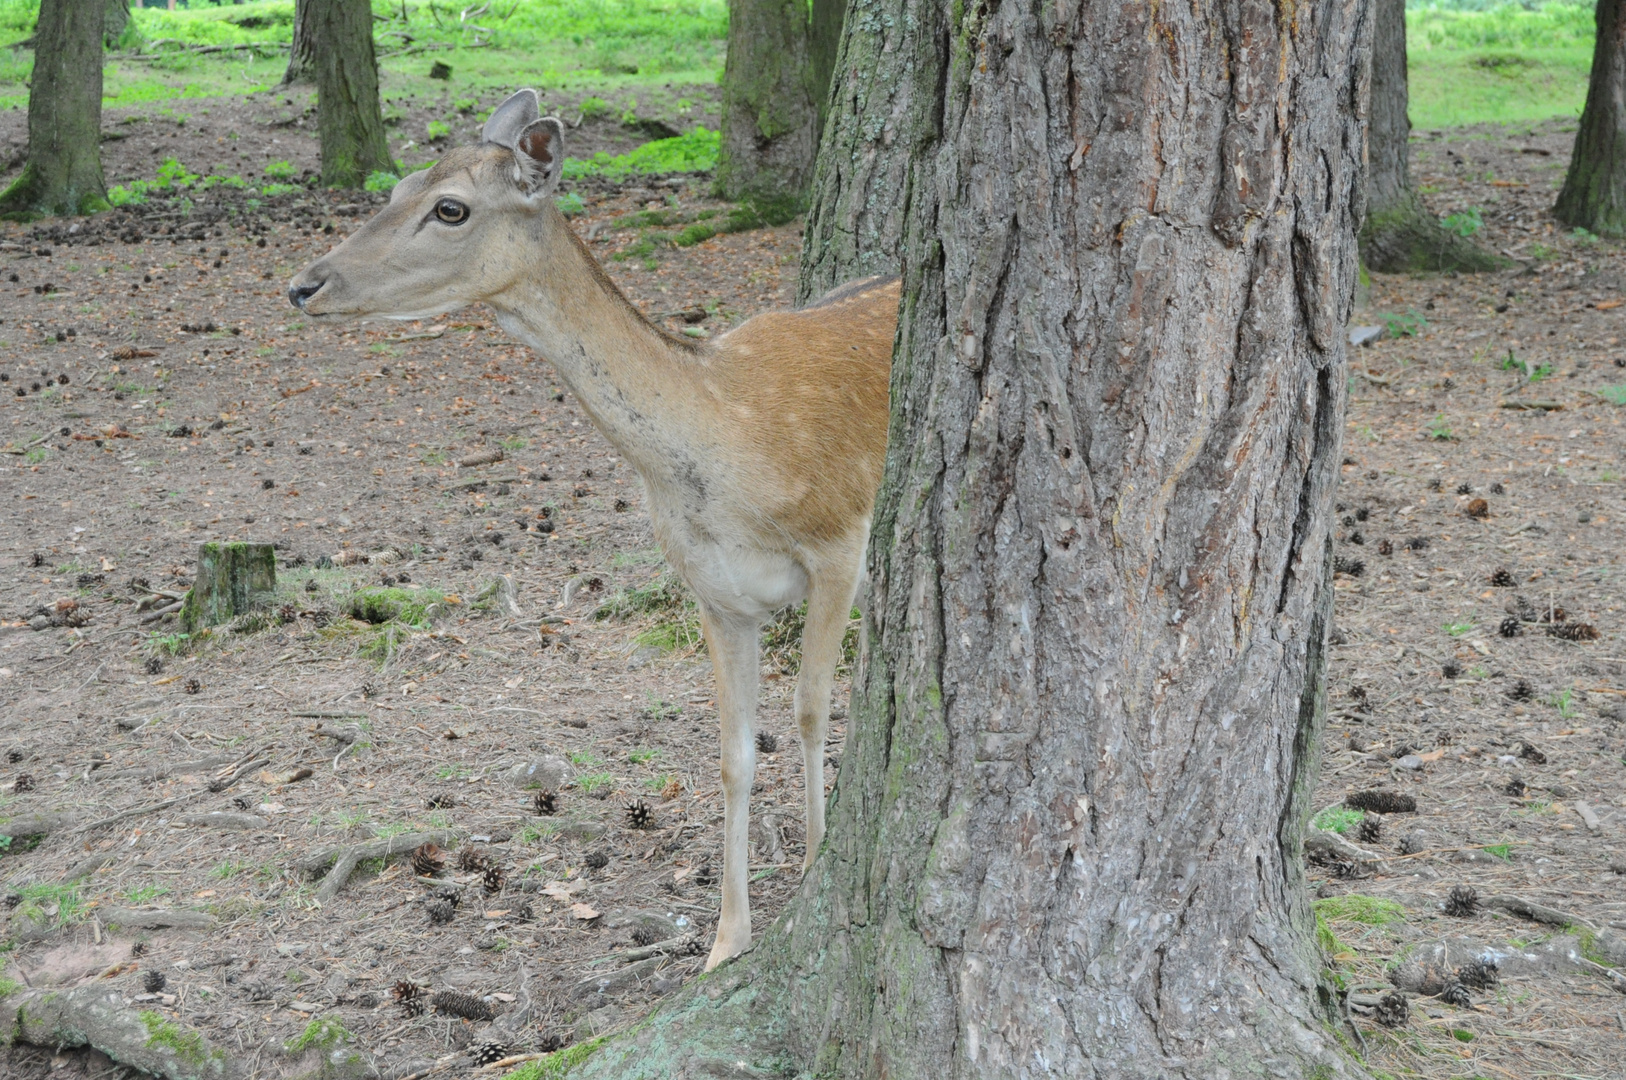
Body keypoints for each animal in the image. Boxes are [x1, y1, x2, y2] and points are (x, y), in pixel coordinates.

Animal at [286, 90, 897, 969]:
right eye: (397, 183)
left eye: (450, 207)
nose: (305, 284)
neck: (726, 439)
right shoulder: (715, 591)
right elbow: (733, 756)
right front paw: (726, 941)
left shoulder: (837, 539)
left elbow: (813, 713)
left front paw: (817, 866)